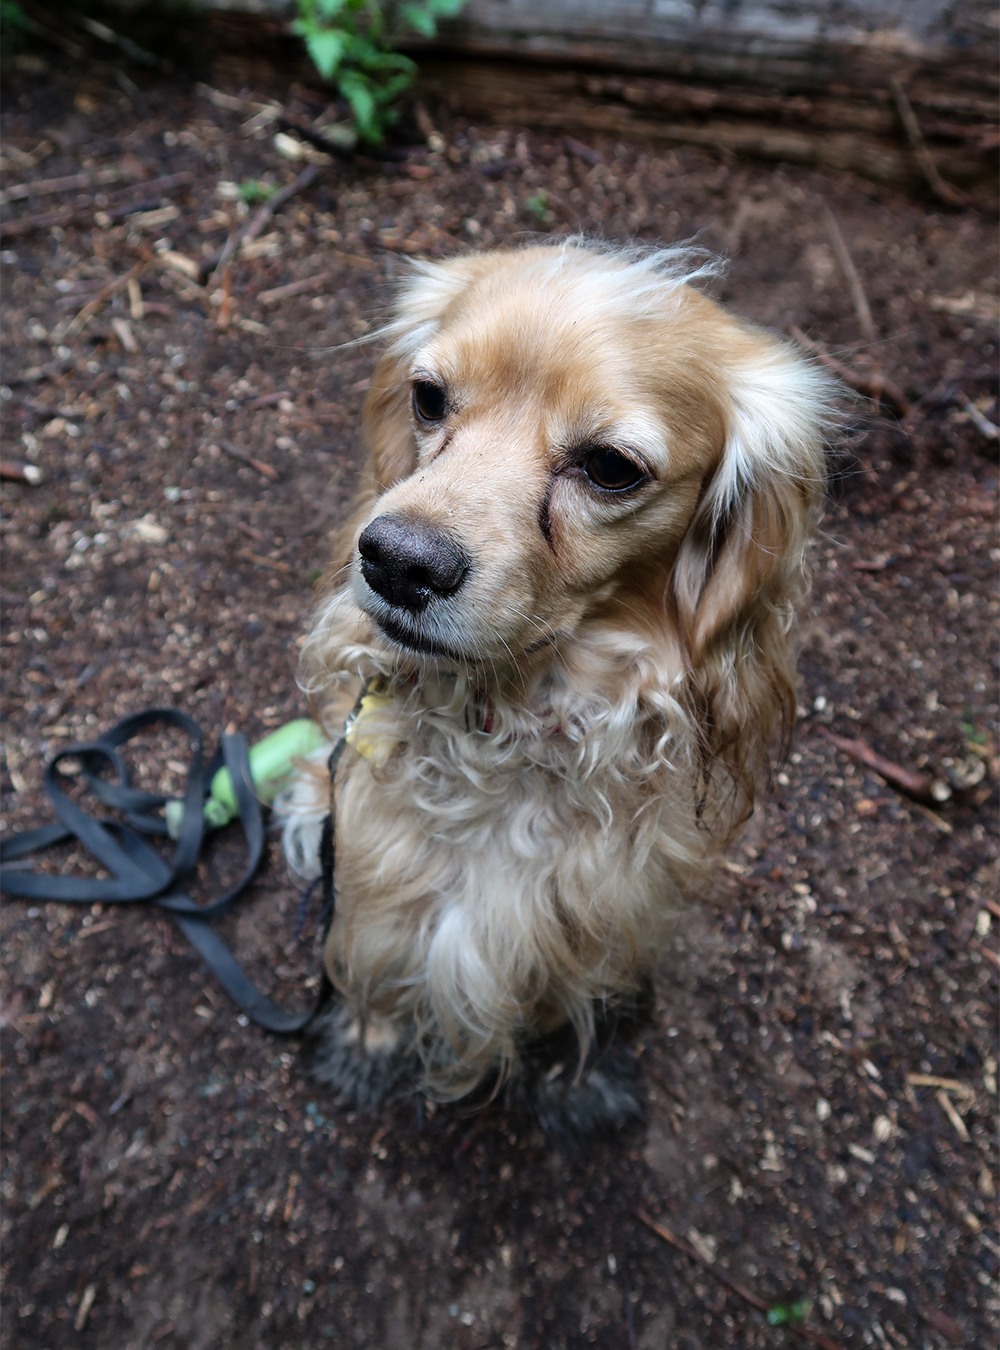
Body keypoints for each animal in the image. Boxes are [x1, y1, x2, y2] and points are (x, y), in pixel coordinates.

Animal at [276, 243, 831, 1139]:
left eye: (610, 467)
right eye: (428, 397)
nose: (396, 559)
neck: (510, 723)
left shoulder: (608, 914)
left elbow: (583, 1002)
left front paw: (583, 1081)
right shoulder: (373, 863)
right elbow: (368, 953)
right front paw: (364, 1040)